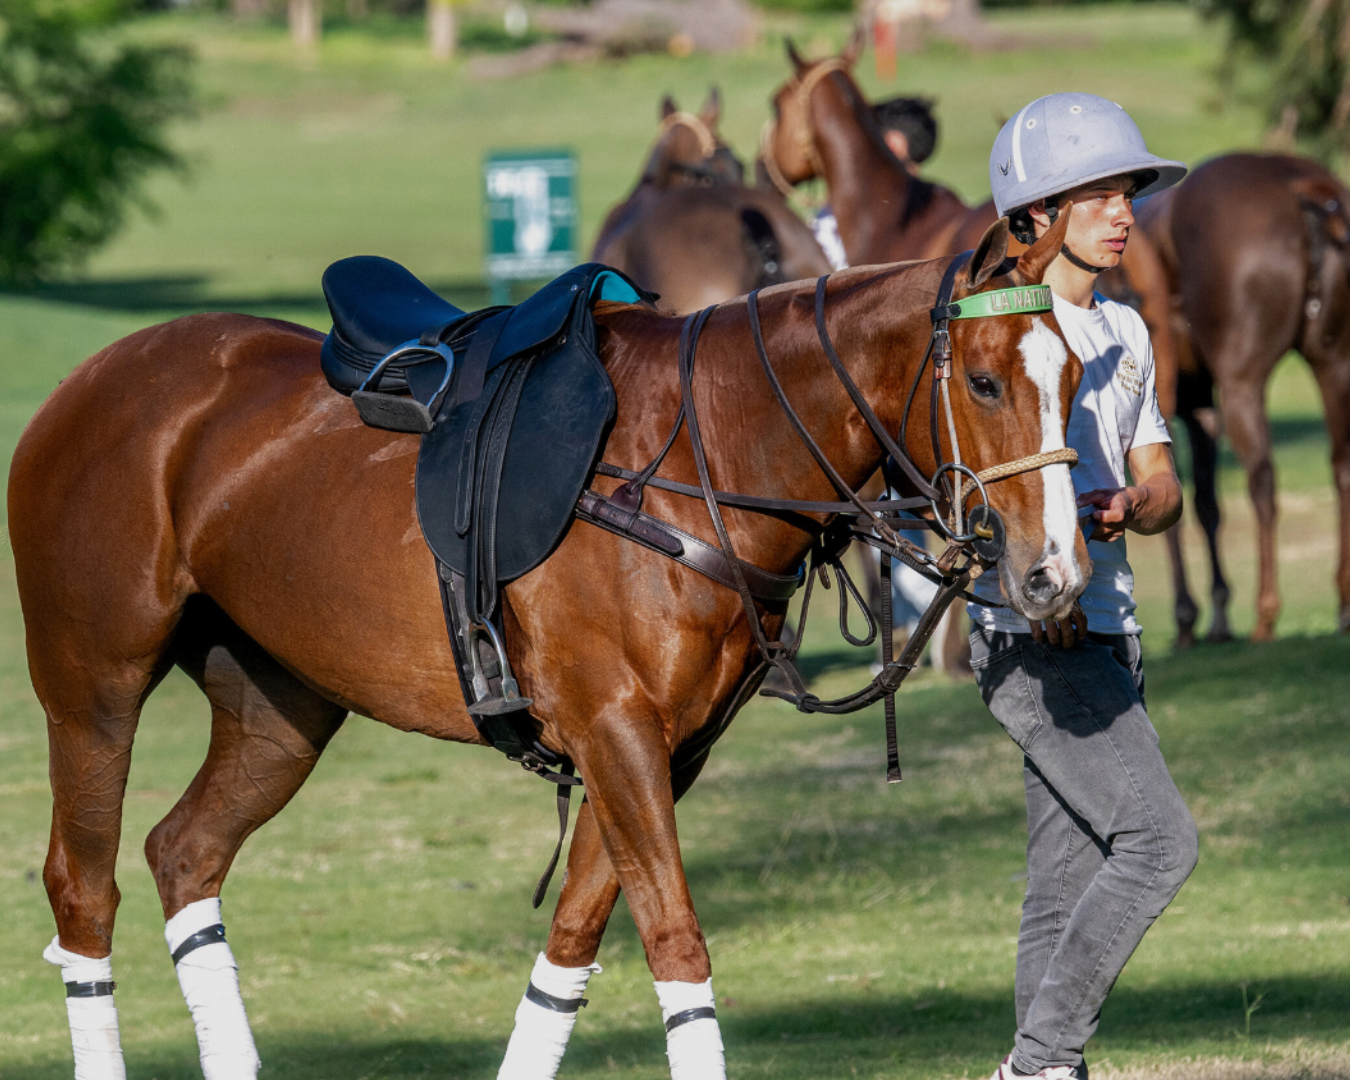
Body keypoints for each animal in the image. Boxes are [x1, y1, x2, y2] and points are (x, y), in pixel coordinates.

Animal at [10, 212, 1089, 1078]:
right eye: (984, 382)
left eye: (1078, 372)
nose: (1056, 573)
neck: (706, 455)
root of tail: (84, 378)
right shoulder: (615, 733)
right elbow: (676, 942)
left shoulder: (666, 750)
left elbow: (572, 947)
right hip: (92, 683)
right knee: (82, 889)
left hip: (281, 709)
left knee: (184, 854)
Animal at [1136, 153, 1350, 641]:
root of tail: (1300, 185)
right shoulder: (1198, 405)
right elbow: (1204, 502)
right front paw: (1215, 614)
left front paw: (1187, 617)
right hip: (1334, 365)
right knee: (1342, 469)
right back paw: (1344, 603)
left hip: (1242, 384)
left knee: (1263, 482)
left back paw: (1265, 613)